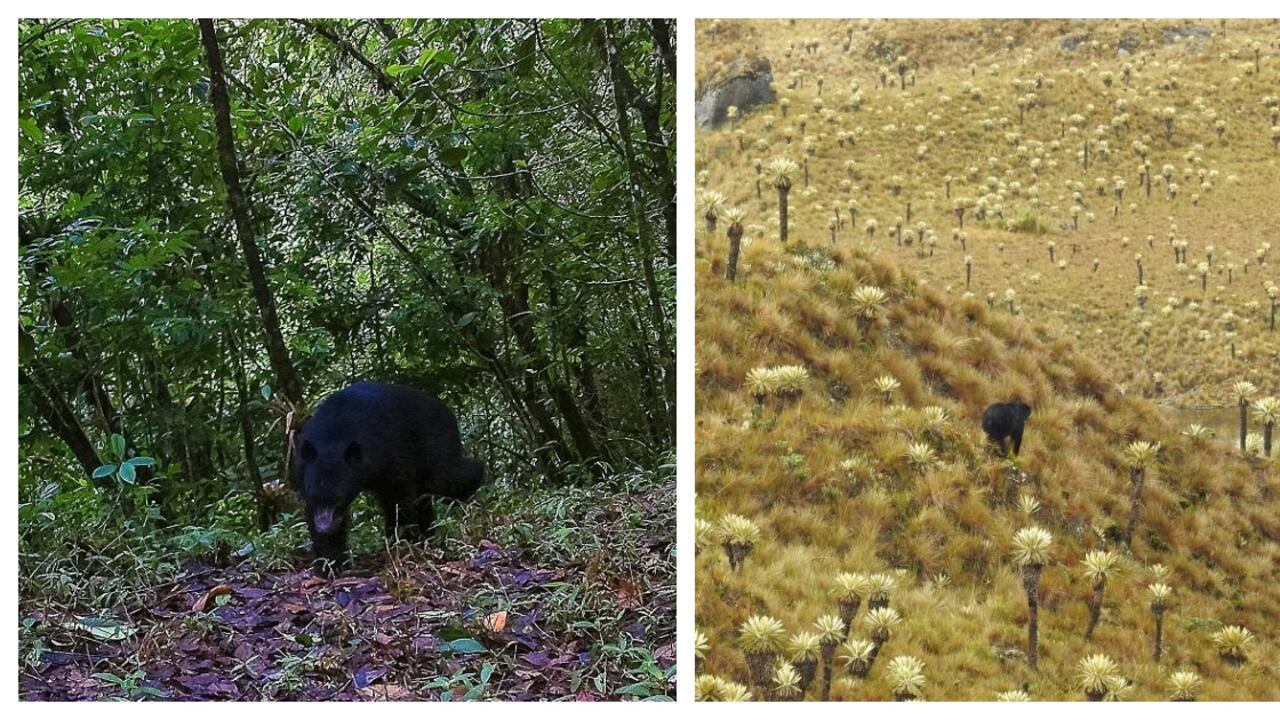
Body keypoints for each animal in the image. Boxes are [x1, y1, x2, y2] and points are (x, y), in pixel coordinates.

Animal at [291, 381, 485, 565]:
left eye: (338, 498)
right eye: (313, 496)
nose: (324, 528)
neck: (334, 435)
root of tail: (447, 410)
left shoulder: (391, 453)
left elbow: (398, 499)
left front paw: (401, 540)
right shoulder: (302, 470)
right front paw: (331, 560)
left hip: (434, 443)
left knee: (448, 476)